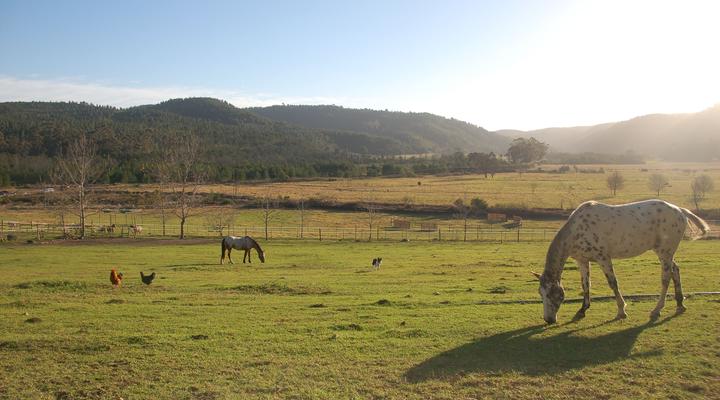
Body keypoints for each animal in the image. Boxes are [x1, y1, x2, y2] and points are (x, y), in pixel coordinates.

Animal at [534, 199, 710, 324]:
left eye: (550, 294)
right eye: (540, 293)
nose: (548, 320)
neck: (577, 230)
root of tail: (680, 210)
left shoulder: (603, 259)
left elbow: (613, 283)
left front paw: (621, 311)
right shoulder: (582, 261)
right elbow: (586, 285)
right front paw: (582, 310)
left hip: (664, 253)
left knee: (666, 278)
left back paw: (657, 309)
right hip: (666, 254)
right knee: (676, 270)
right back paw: (679, 304)